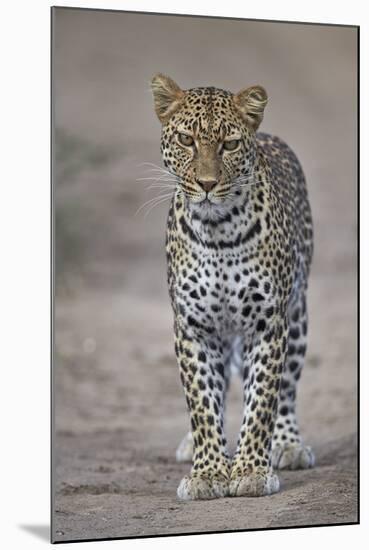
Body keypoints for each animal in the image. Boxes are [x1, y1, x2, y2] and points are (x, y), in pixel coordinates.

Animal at [150, 74, 314, 504]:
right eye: (187, 140)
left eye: (230, 144)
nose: (207, 184)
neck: (218, 229)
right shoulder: (193, 328)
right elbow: (202, 403)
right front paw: (208, 472)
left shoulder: (268, 324)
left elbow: (262, 402)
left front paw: (252, 470)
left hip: (298, 316)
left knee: (288, 390)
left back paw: (287, 444)